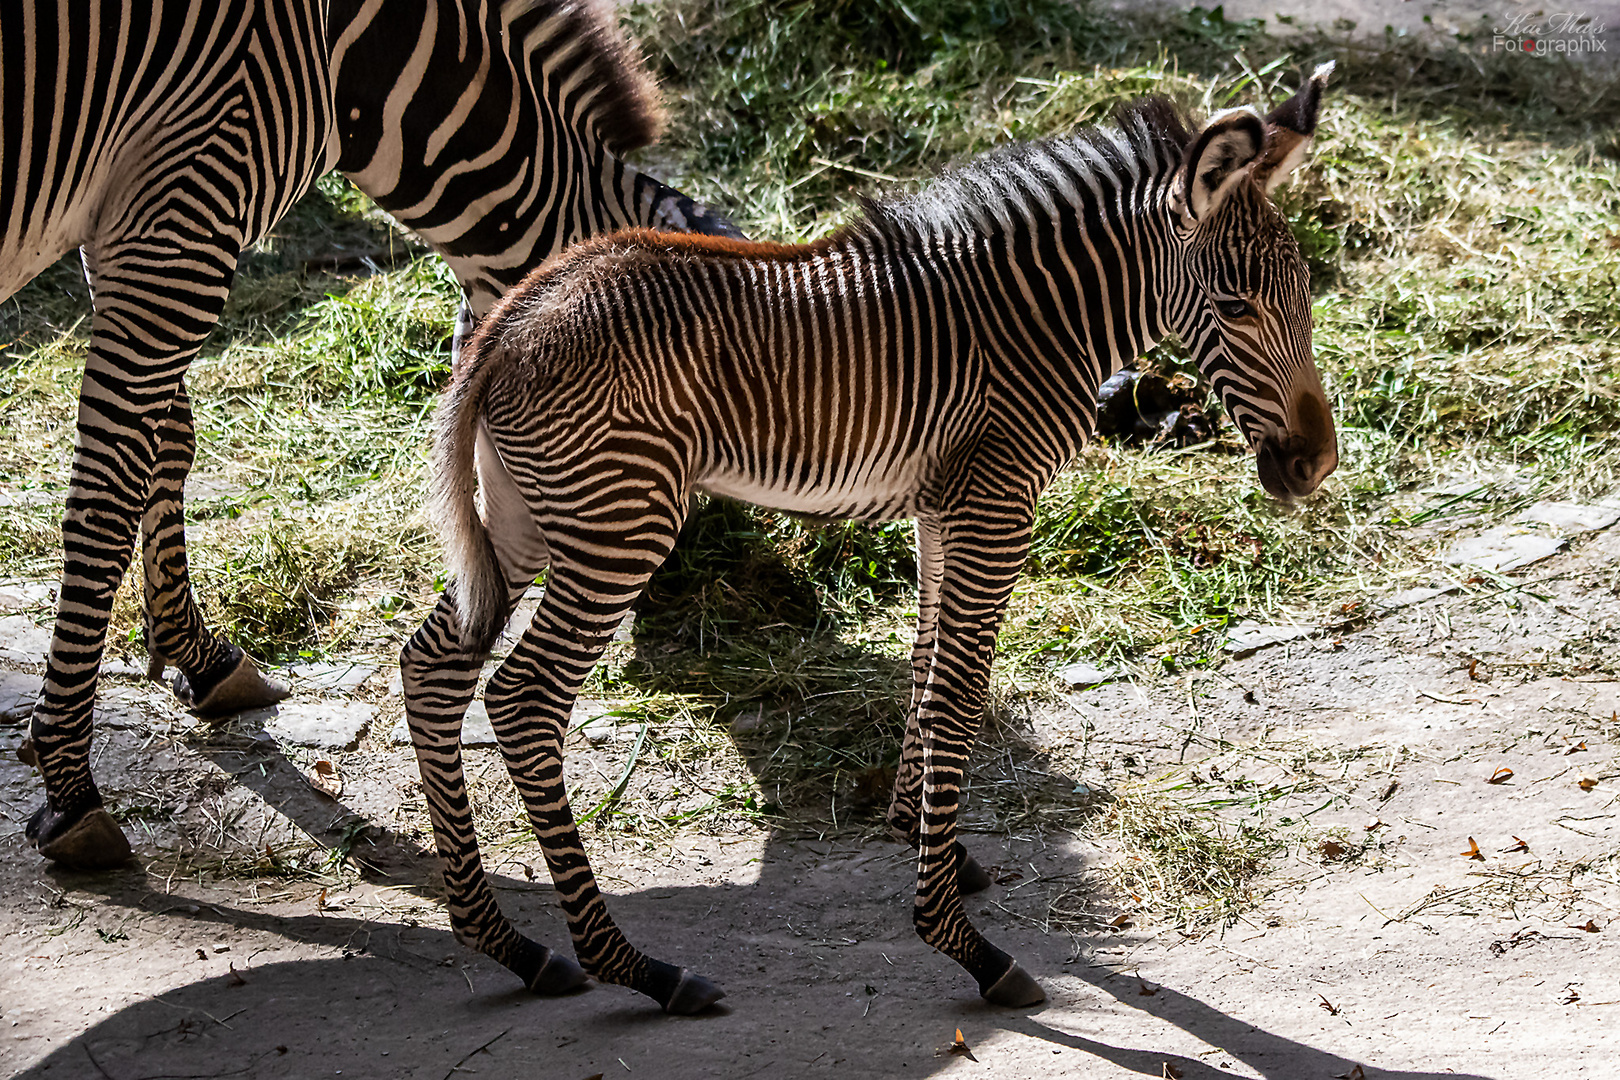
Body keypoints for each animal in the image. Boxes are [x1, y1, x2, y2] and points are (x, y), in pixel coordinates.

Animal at [3, 0, 738, 867]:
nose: (705, 546)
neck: (356, 53)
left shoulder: (134, 221)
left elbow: (168, 438)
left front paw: (196, 654)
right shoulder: (187, 208)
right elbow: (110, 486)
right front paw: (69, 783)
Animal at [401, 65, 1341, 1016]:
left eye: (1303, 295)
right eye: (1234, 305)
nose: (1315, 464)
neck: (1034, 320)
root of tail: (508, 323)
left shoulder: (942, 507)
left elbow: (926, 670)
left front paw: (931, 842)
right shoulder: (996, 506)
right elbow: (959, 696)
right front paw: (960, 941)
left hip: (525, 519)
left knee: (432, 664)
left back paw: (508, 945)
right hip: (619, 522)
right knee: (523, 697)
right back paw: (634, 966)